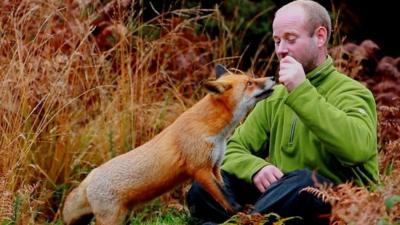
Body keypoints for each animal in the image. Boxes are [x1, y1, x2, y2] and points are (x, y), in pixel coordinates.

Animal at [61, 64, 276, 224]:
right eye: (250, 83)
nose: (273, 76)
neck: (214, 132)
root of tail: (88, 178)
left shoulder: (215, 166)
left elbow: (226, 192)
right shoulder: (200, 169)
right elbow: (224, 197)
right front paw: (239, 213)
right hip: (112, 219)